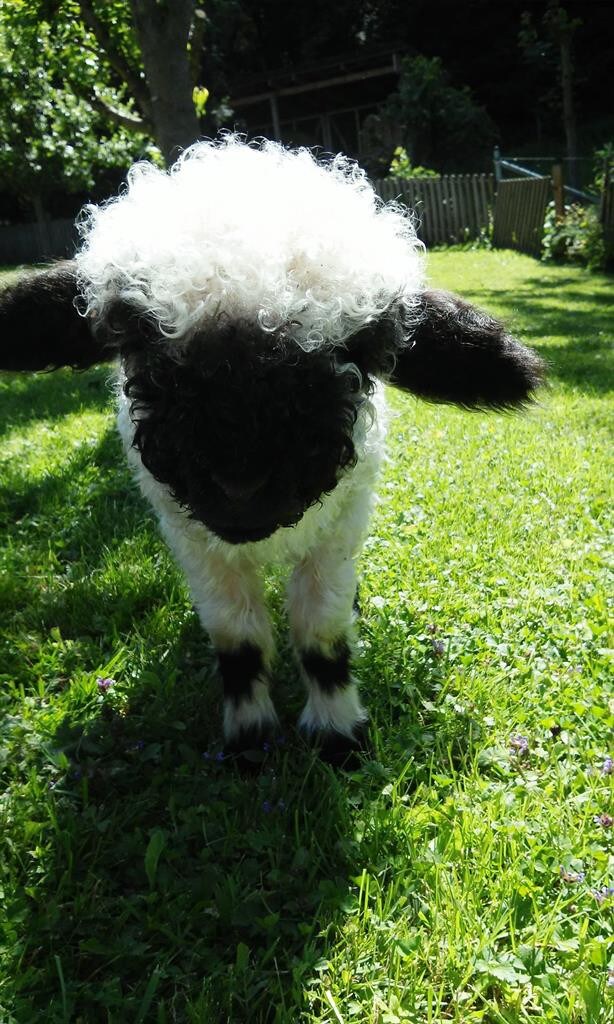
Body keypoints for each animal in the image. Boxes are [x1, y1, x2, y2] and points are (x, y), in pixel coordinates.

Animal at [0, 134, 540, 761]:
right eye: (136, 341)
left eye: (358, 350)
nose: (240, 488)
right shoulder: (191, 535)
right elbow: (237, 637)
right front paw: (250, 736)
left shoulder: (341, 523)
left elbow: (321, 631)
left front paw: (338, 733)